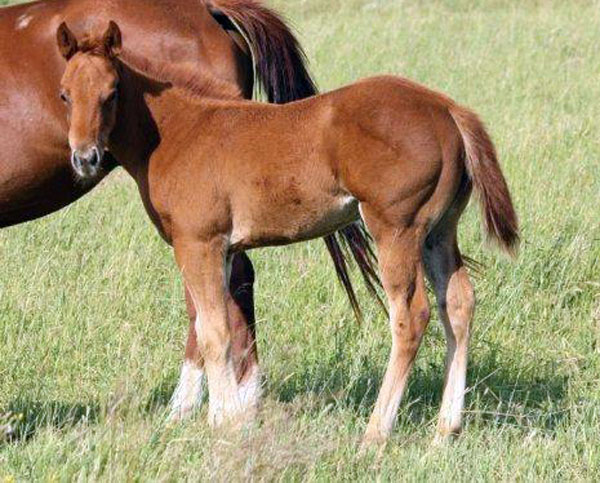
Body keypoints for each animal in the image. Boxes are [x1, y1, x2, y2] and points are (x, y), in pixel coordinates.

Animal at [0, 0, 380, 420]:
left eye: (112, 94)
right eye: (63, 95)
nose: (85, 159)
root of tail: (209, 8)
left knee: (219, 298)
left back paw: (204, 405)